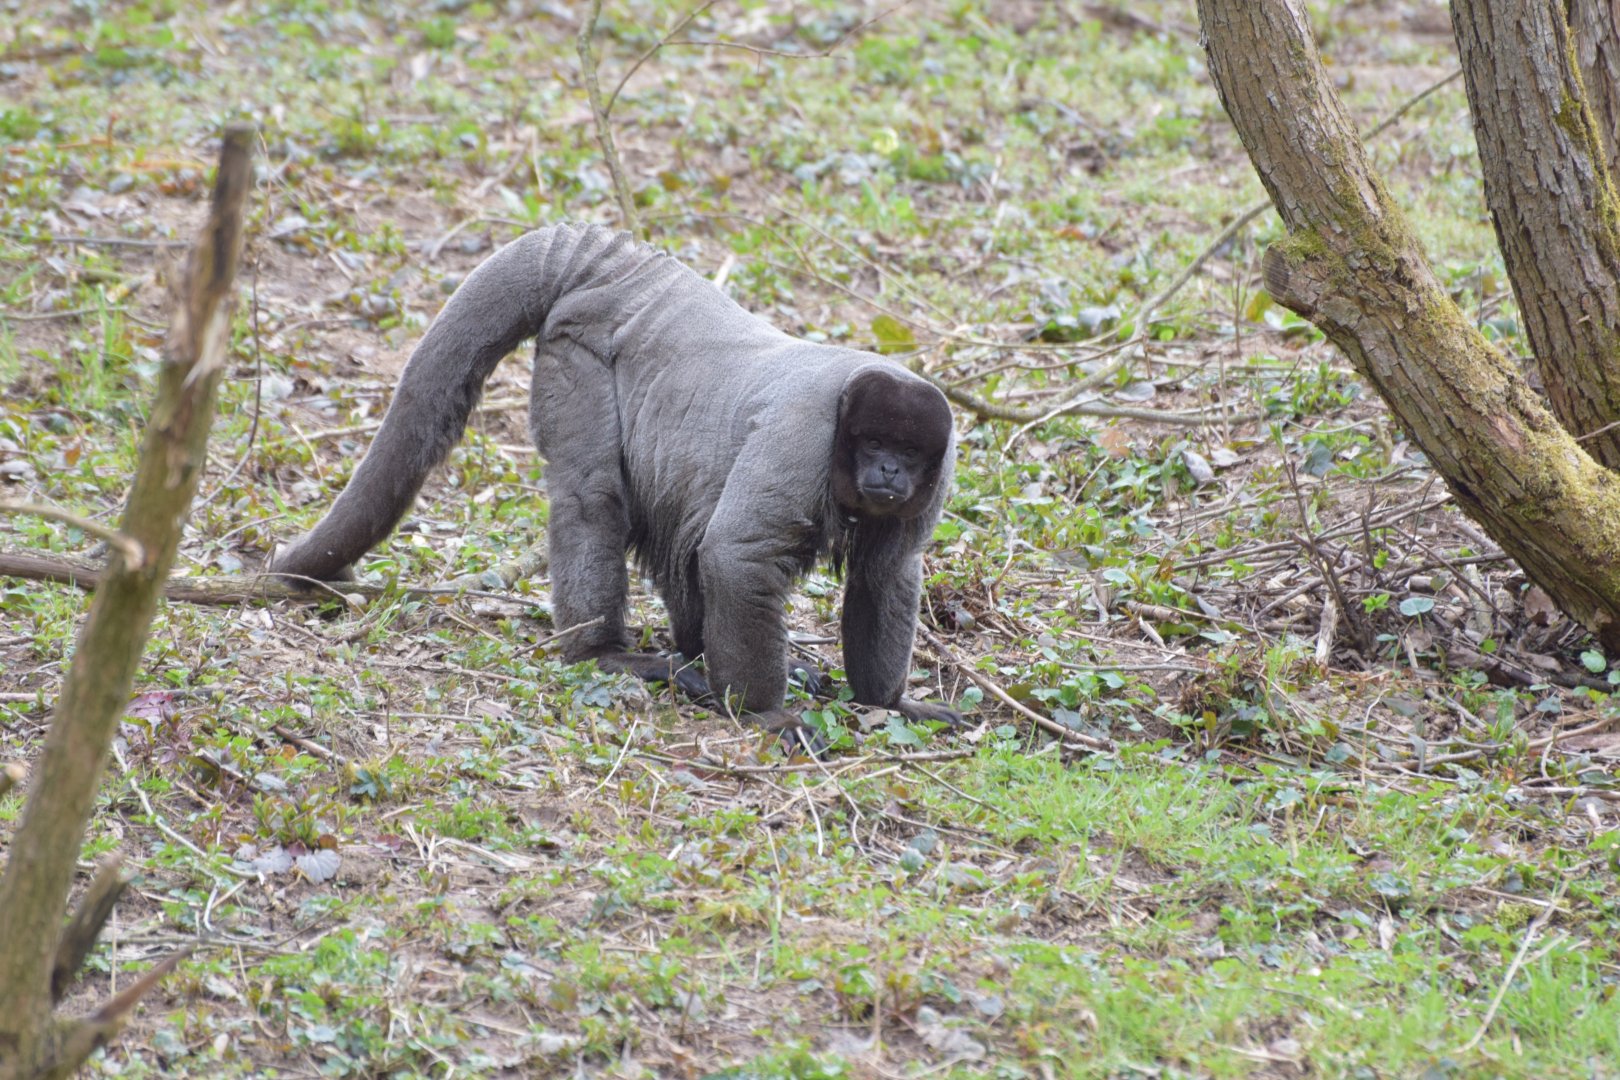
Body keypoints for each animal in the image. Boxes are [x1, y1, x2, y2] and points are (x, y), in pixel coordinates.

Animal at [269, 223, 961, 741]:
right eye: (874, 444)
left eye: (907, 451)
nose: (888, 471)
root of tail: (620, 264)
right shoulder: (802, 434)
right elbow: (737, 554)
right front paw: (767, 712)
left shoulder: (942, 468)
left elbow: (886, 574)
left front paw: (888, 704)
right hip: (578, 349)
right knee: (593, 501)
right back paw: (608, 655)